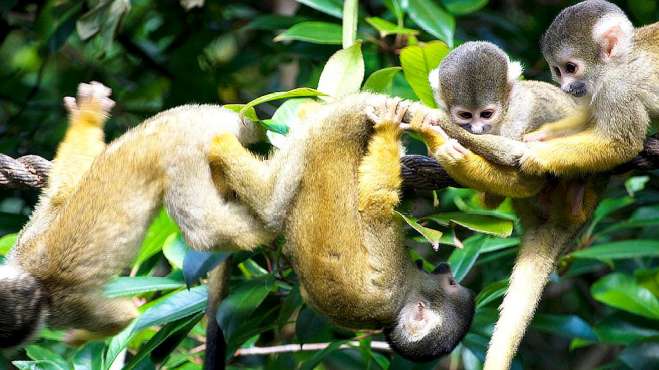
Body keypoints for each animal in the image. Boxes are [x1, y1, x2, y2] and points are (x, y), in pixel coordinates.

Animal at [210, 95, 474, 362]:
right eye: (452, 283)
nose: (444, 267)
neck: (399, 302)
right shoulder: (392, 274)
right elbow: (374, 205)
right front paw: (390, 131)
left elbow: (372, 204)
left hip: (318, 138)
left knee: (270, 203)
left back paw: (223, 148)